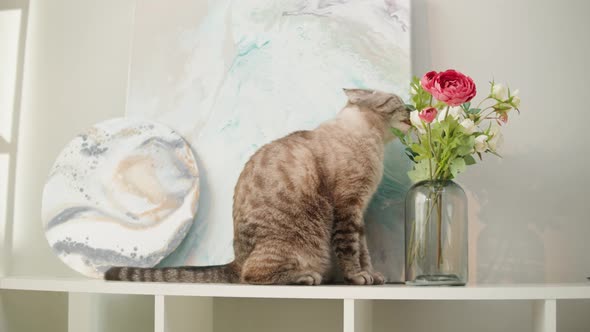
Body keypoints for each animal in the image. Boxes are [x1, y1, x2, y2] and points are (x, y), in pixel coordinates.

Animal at [106, 89, 410, 286]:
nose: (410, 108)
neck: (374, 143)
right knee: (250, 276)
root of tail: (236, 259)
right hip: (297, 246)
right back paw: (304, 277)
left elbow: (363, 250)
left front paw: (372, 275)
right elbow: (349, 250)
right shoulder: (348, 208)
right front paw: (357, 277)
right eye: (396, 101)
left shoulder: (360, 210)